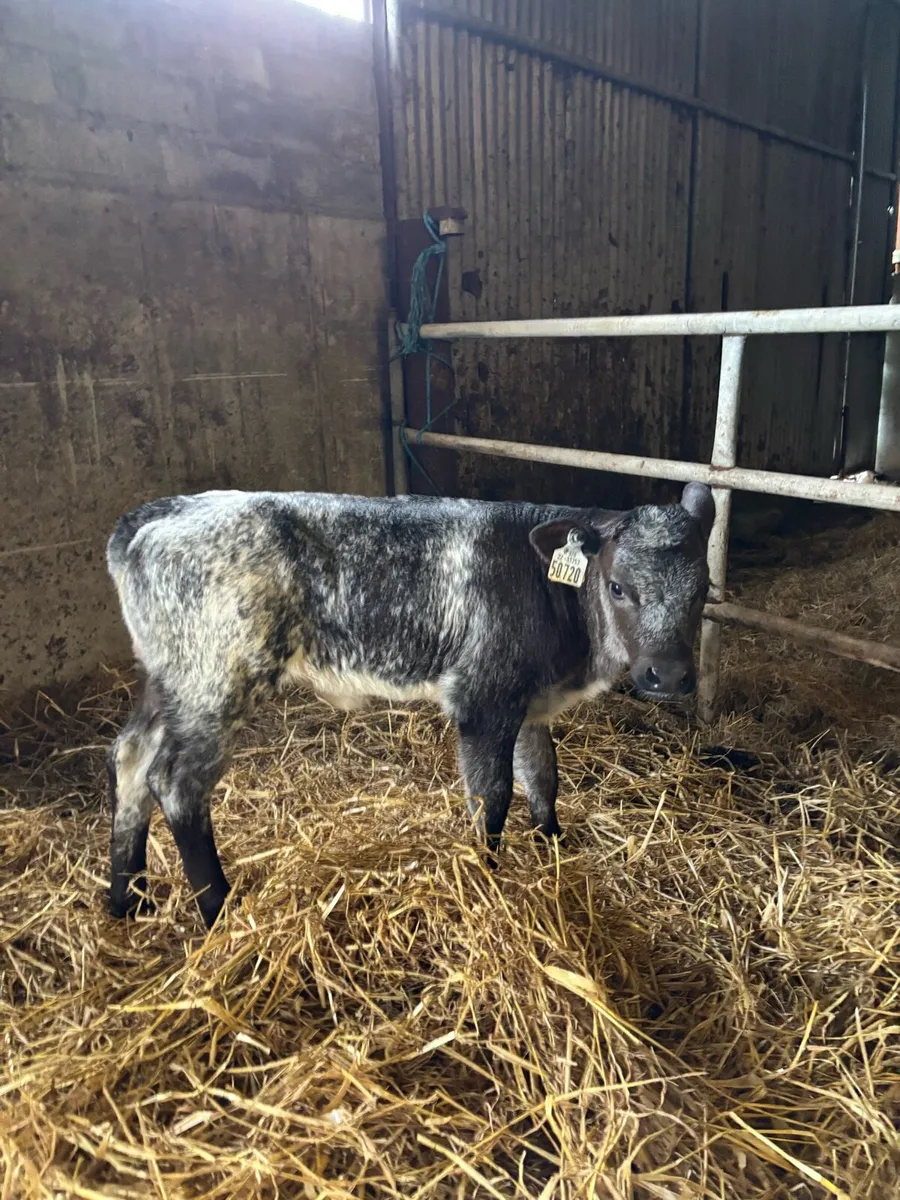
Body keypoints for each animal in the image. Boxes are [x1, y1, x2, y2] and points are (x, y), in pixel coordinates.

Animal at [105, 483, 715, 929]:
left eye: (704, 588)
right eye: (617, 587)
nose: (668, 675)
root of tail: (164, 512)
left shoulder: (528, 702)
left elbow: (543, 776)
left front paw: (554, 848)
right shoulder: (483, 699)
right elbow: (492, 797)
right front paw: (487, 877)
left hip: (168, 683)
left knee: (130, 756)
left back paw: (126, 898)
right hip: (216, 682)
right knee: (177, 783)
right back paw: (219, 913)